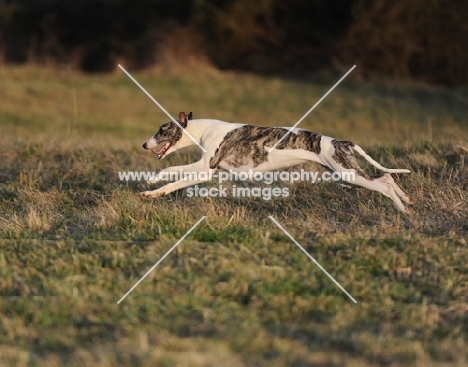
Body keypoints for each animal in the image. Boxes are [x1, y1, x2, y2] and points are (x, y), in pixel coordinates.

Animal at [140, 110, 414, 211]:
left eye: (161, 130)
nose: (144, 144)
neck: (203, 129)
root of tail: (340, 141)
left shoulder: (206, 168)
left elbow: (173, 174)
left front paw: (152, 189)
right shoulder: (207, 170)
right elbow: (174, 172)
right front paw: (152, 186)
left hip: (348, 174)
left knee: (383, 183)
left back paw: (400, 207)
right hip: (345, 177)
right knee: (386, 177)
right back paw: (406, 203)